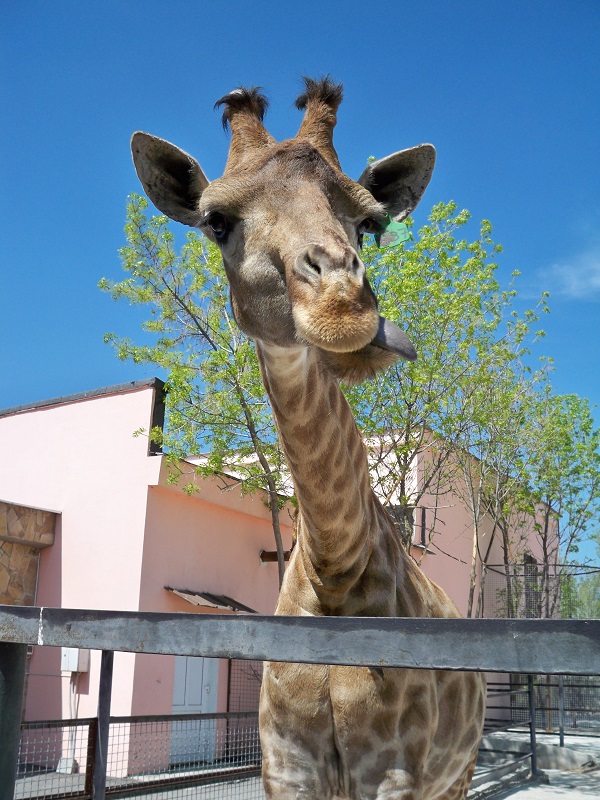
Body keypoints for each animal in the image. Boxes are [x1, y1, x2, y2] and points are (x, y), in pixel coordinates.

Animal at [130, 76, 482, 800]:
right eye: (217, 222)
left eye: (370, 224)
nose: (343, 308)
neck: (333, 571)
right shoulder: (286, 763)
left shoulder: (393, 769)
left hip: (457, 772)